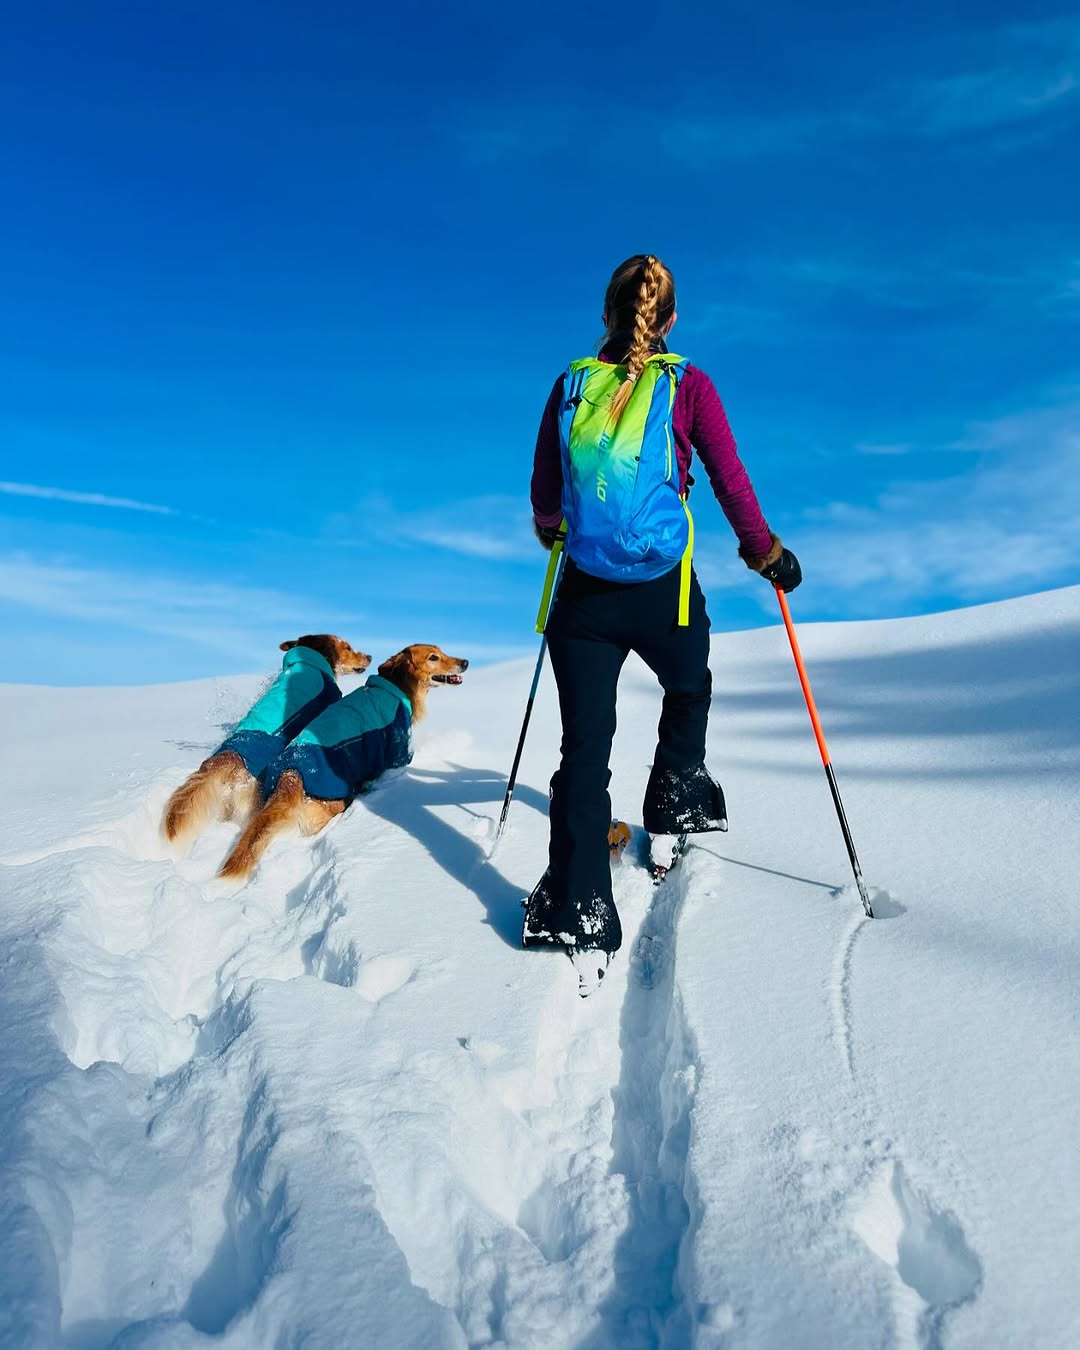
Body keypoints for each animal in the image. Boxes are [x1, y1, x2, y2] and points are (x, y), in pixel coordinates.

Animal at [218, 645, 467, 880]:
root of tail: (290, 776)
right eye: (433, 657)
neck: (395, 686)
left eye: (441, 652)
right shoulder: (397, 754)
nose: (465, 662)